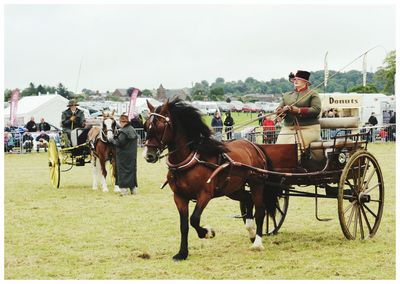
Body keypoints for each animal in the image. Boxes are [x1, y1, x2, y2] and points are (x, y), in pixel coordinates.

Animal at [144, 98, 278, 260]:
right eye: (146, 126)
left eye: (160, 126)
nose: (149, 155)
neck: (188, 161)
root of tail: (254, 146)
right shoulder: (179, 197)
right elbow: (184, 226)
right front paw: (182, 253)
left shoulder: (205, 194)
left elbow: (194, 219)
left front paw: (207, 232)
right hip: (232, 189)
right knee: (247, 199)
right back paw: (251, 231)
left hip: (256, 183)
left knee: (260, 210)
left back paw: (257, 242)